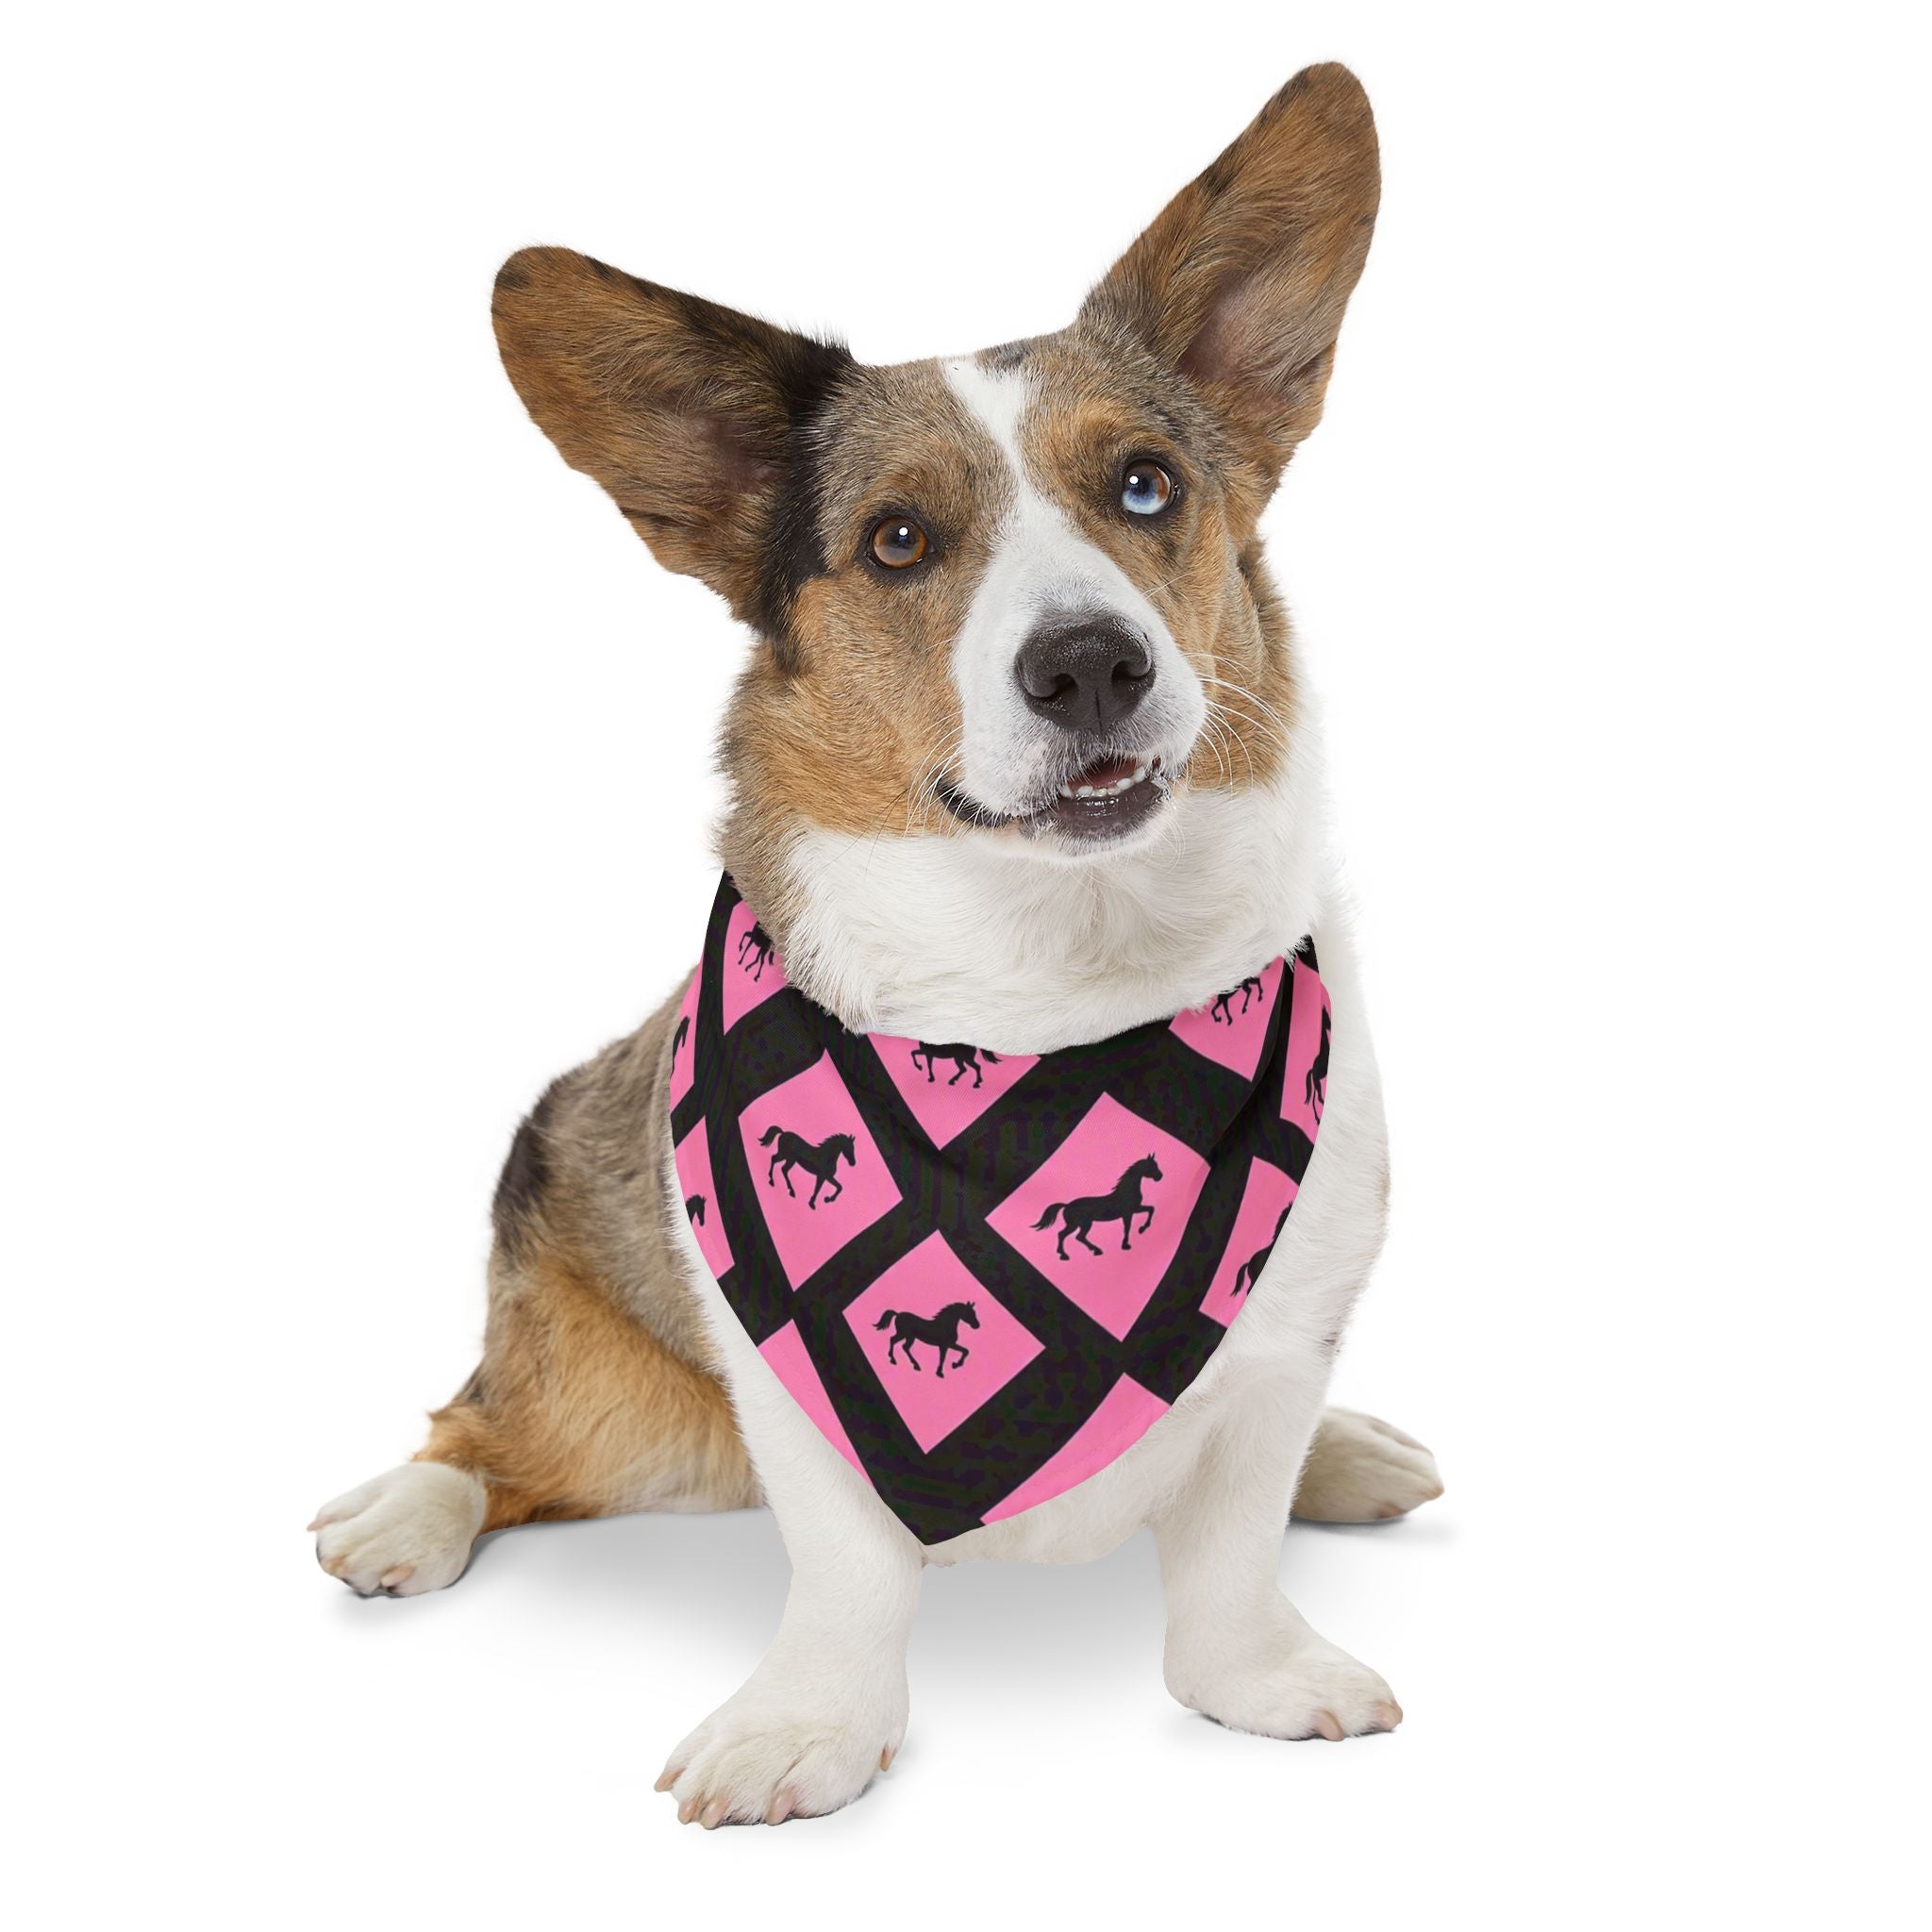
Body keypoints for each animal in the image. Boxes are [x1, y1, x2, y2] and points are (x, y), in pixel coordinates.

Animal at [1032, 1154, 1164, 1259]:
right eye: (1152, 1166)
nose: (1160, 1176)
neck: (1126, 1192)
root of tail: (1067, 1205)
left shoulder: (1134, 1210)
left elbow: (1151, 1209)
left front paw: (1141, 1230)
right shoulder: (1129, 1213)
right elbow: (1128, 1227)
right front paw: (1128, 1242)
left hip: (1081, 1224)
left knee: (1076, 1237)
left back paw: (1092, 1250)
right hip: (1080, 1224)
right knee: (1067, 1235)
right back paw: (1067, 1255)